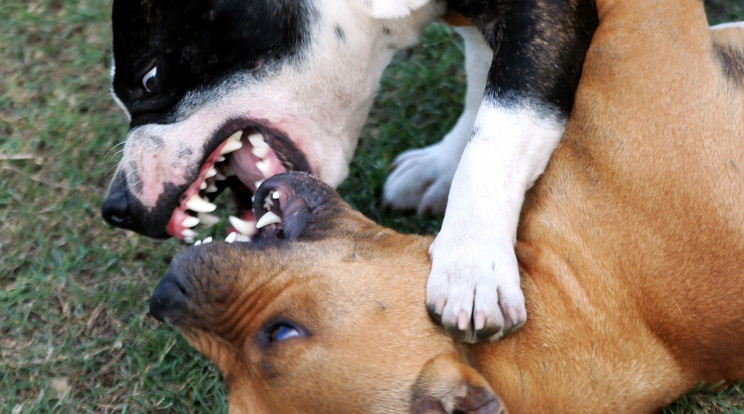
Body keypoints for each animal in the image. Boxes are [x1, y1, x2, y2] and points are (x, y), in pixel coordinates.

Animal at [103, 0, 592, 342]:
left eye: (150, 79)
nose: (115, 206)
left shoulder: (540, 20)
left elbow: (497, 130)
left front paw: (471, 265)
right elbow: (479, 84)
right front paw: (441, 167)